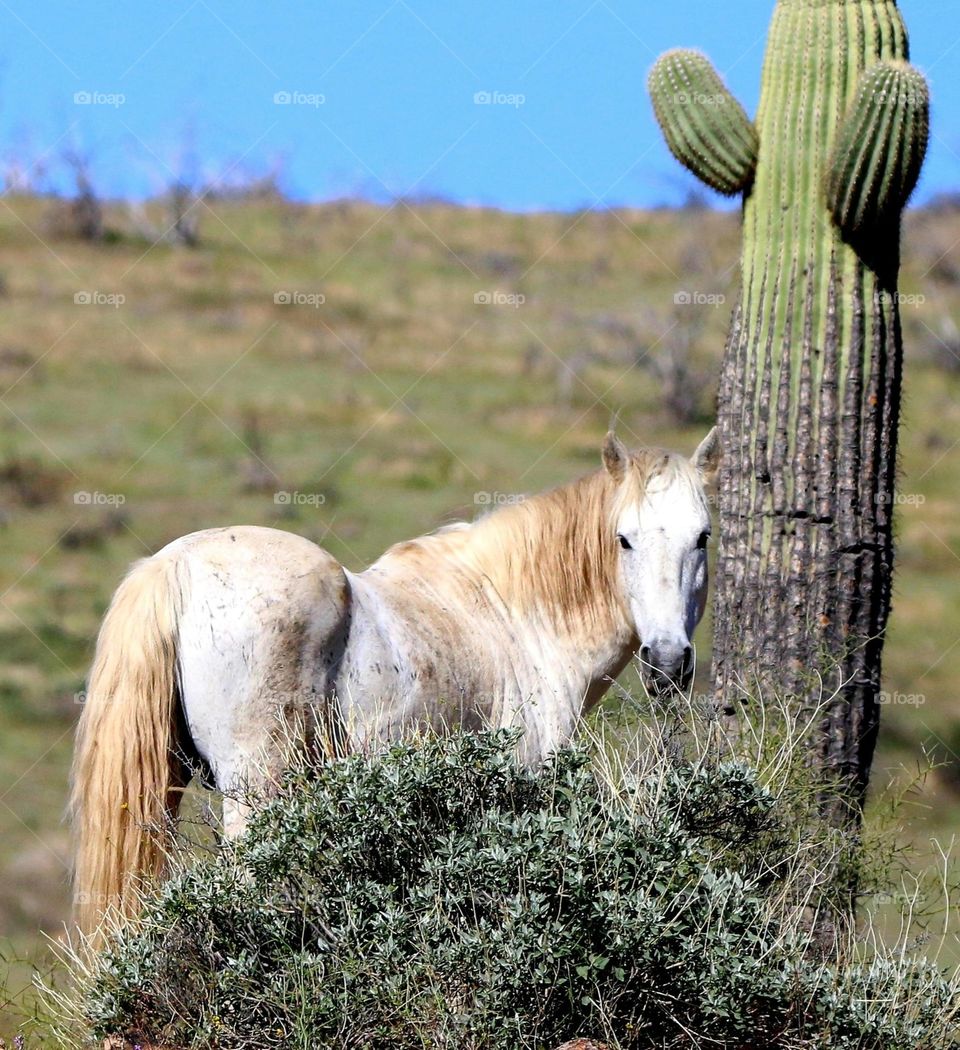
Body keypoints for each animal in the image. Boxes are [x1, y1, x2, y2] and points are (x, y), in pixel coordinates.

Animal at [71, 428, 719, 936]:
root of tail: (174, 565)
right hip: (254, 793)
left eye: (703, 537)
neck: (515, 615)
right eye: (624, 538)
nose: (667, 661)